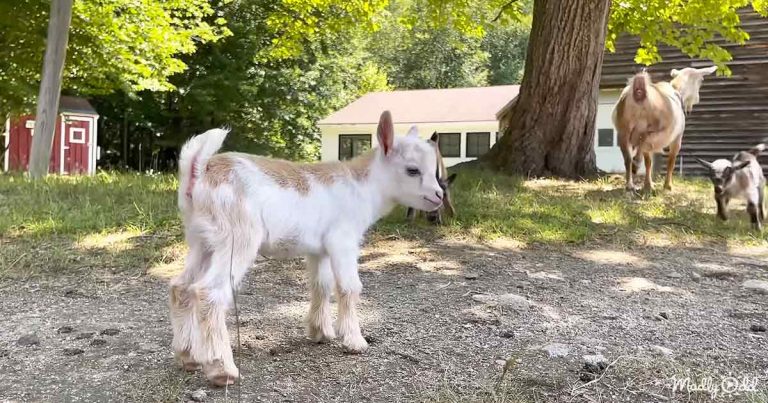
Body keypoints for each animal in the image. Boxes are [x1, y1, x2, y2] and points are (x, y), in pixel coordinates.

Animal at [168, 109, 444, 386]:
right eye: (412, 170)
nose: (439, 195)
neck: (362, 186)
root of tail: (201, 170)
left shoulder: (319, 250)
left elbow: (321, 285)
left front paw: (320, 332)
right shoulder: (343, 240)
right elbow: (349, 287)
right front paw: (355, 341)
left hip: (202, 240)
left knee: (181, 287)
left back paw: (187, 355)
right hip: (238, 237)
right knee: (210, 291)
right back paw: (221, 369)